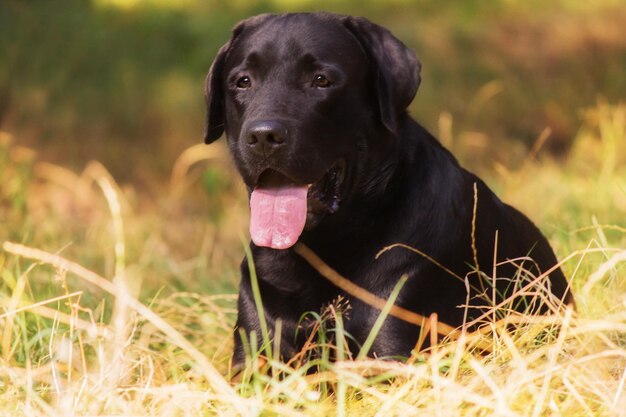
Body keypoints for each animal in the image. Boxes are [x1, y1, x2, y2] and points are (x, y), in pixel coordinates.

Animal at [204, 12, 572, 364]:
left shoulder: (393, 351)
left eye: (321, 80)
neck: (324, 244)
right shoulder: (253, 354)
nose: (263, 136)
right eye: (242, 81)